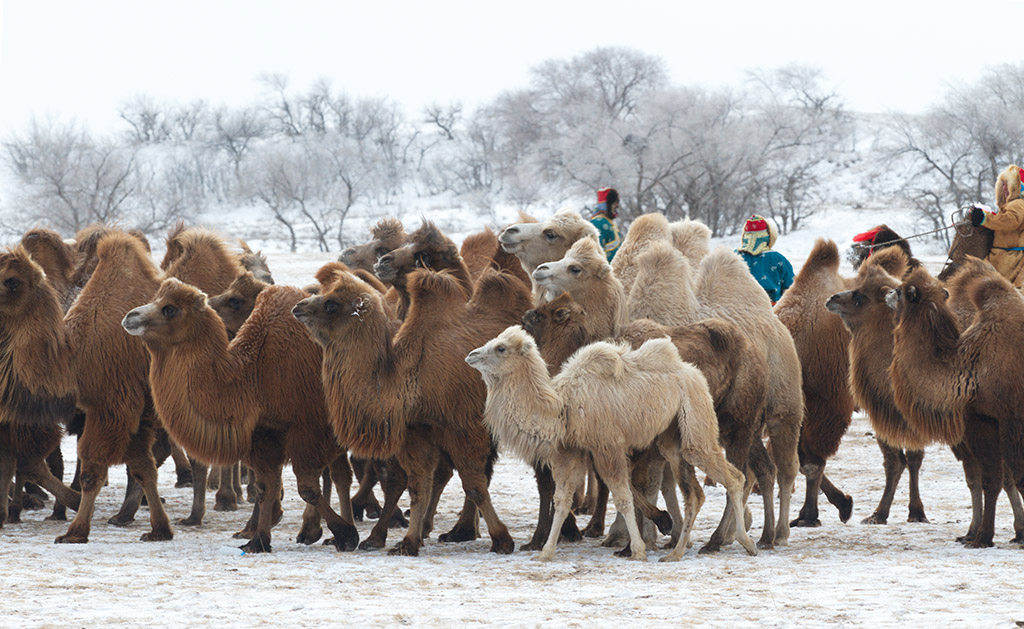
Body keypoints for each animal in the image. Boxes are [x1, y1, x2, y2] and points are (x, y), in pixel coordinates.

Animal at [124, 278, 360, 553]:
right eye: (156, 298)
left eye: (170, 309)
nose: (130, 316)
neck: (254, 375)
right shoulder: (262, 435)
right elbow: (266, 487)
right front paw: (258, 540)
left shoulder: (306, 428)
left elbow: (307, 488)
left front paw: (347, 535)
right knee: (339, 475)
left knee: (337, 476)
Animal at [288, 266, 528, 557]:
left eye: (332, 304)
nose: (298, 307)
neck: (415, 375)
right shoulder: (416, 430)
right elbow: (418, 486)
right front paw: (408, 542)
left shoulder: (462, 427)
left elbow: (474, 486)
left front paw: (502, 540)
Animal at [468, 327, 757, 565]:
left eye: (501, 348)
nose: (470, 355)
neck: (563, 409)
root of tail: (692, 372)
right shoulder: (569, 451)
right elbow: (562, 500)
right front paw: (546, 552)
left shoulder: (607, 446)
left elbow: (623, 496)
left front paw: (638, 550)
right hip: (672, 436)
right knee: (695, 493)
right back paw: (676, 553)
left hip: (696, 419)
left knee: (732, 476)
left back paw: (745, 543)